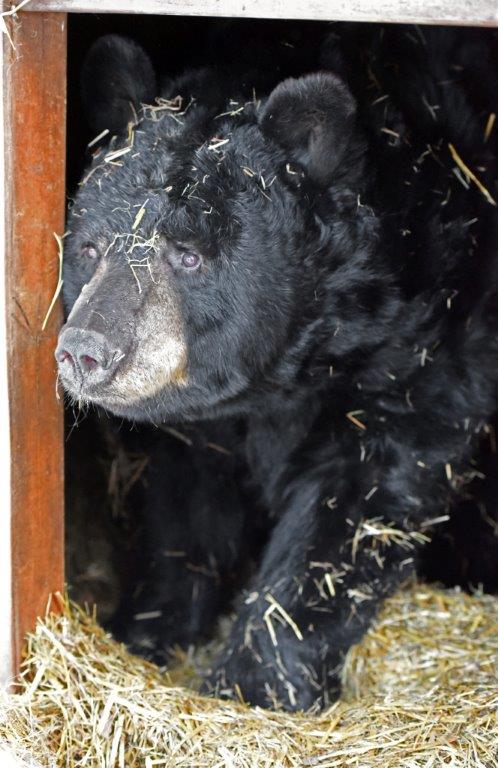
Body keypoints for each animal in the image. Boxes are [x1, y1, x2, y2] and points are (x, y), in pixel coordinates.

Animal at [56, 26, 498, 711]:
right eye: (89, 246)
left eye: (188, 254)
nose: (86, 349)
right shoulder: (201, 421)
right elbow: (186, 508)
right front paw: (150, 626)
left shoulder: (428, 339)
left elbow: (357, 501)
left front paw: (251, 679)